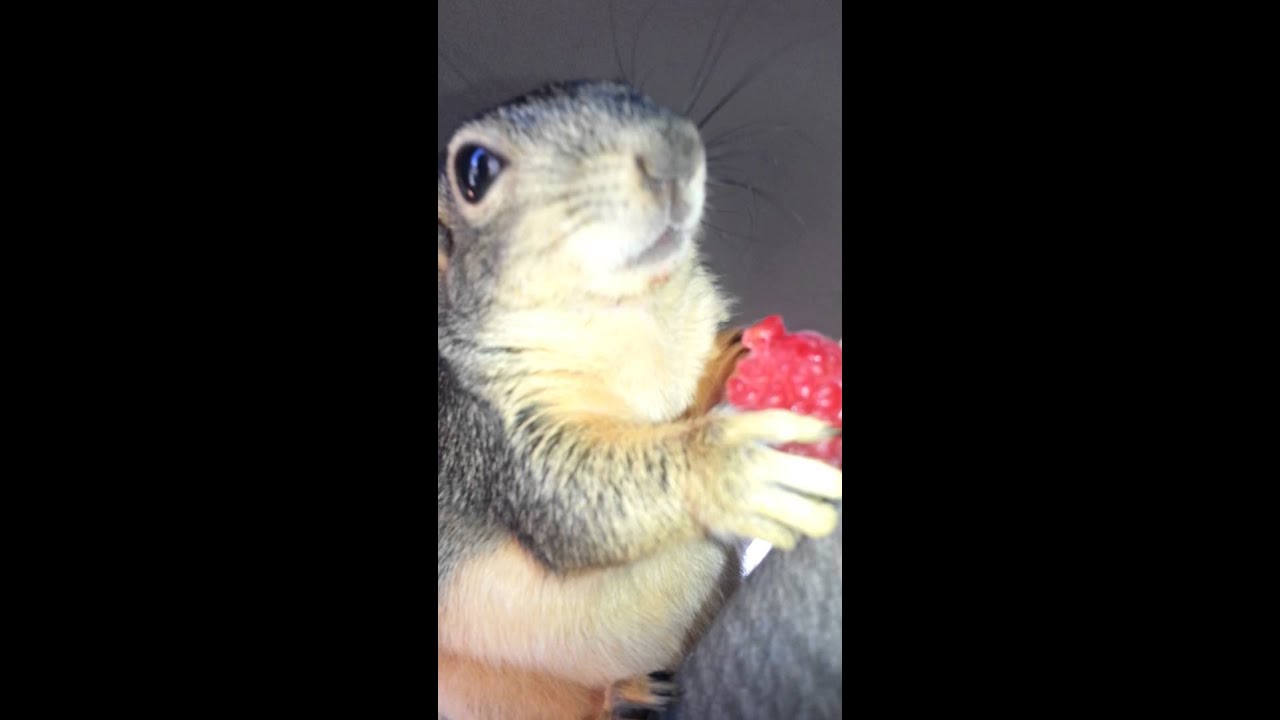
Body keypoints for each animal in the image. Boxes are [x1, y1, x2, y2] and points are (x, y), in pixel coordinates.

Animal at [438, 79, 842, 720]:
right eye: (474, 170)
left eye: (636, 94)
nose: (671, 150)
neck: (636, 317)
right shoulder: (493, 431)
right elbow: (573, 493)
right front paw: (730, 467)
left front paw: (739, 357)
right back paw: (623, 697)